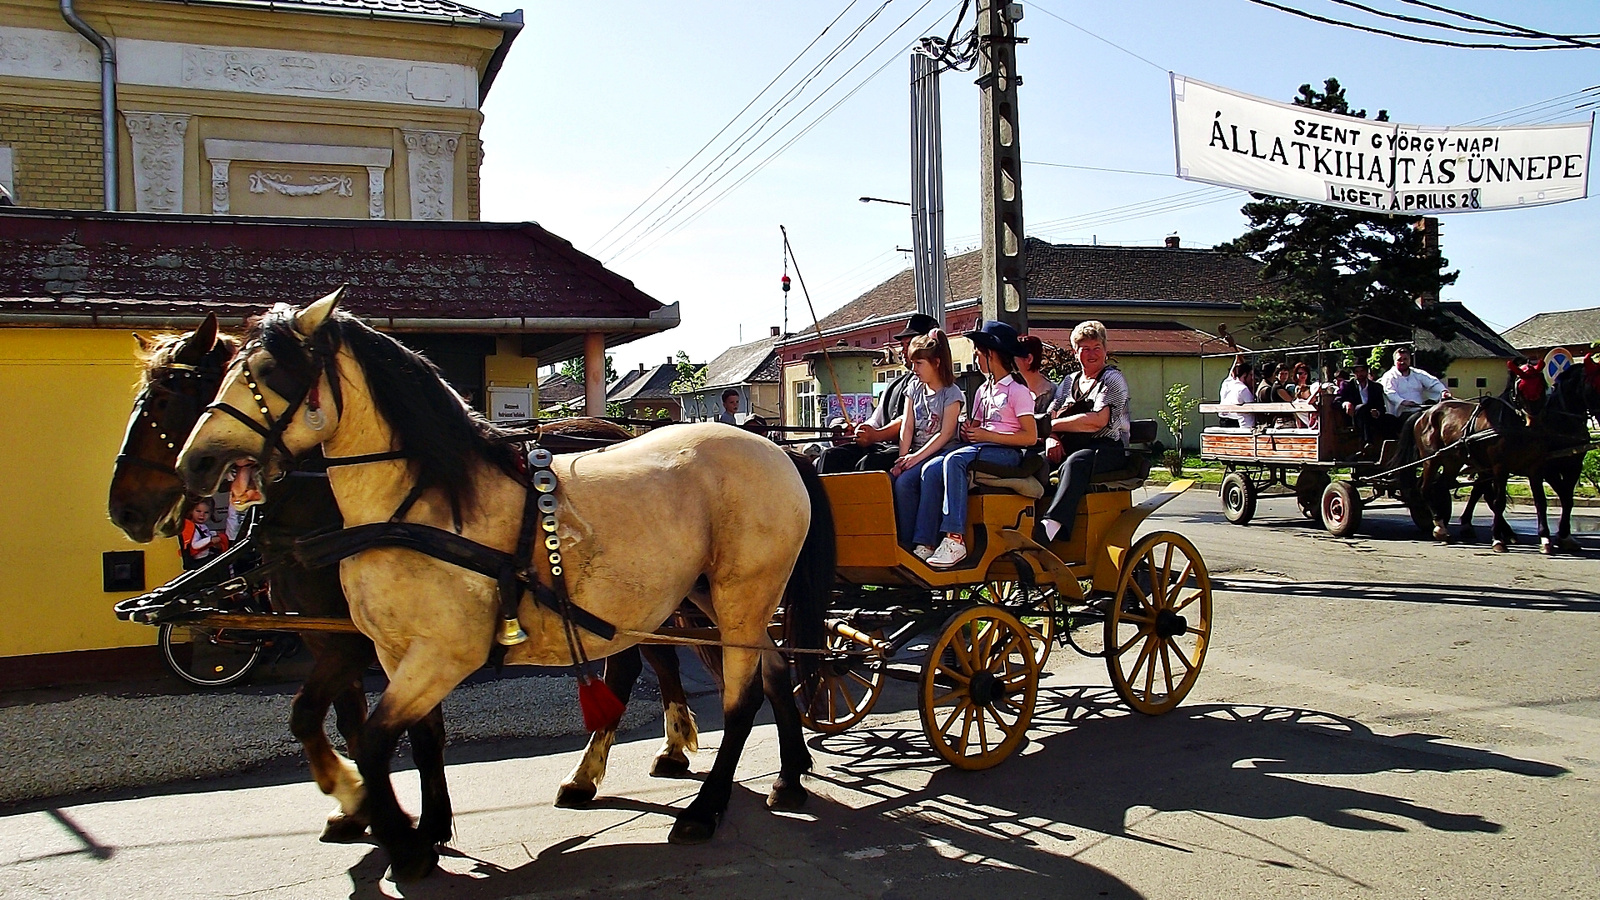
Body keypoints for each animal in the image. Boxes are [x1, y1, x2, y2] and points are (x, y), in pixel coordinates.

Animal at [173, 291, 832, 877]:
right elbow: (418, 735)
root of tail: (777, 449)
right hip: (714, 596)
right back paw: (787, 777)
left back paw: (704, 808)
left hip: (741, 594)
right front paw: (425, 827)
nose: (194, 464)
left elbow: (374, 741)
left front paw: (389, 831)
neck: (417, 507)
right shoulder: (392, 651)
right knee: (773, 670)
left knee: (741, 698)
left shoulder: (440, 653)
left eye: (267, 371)